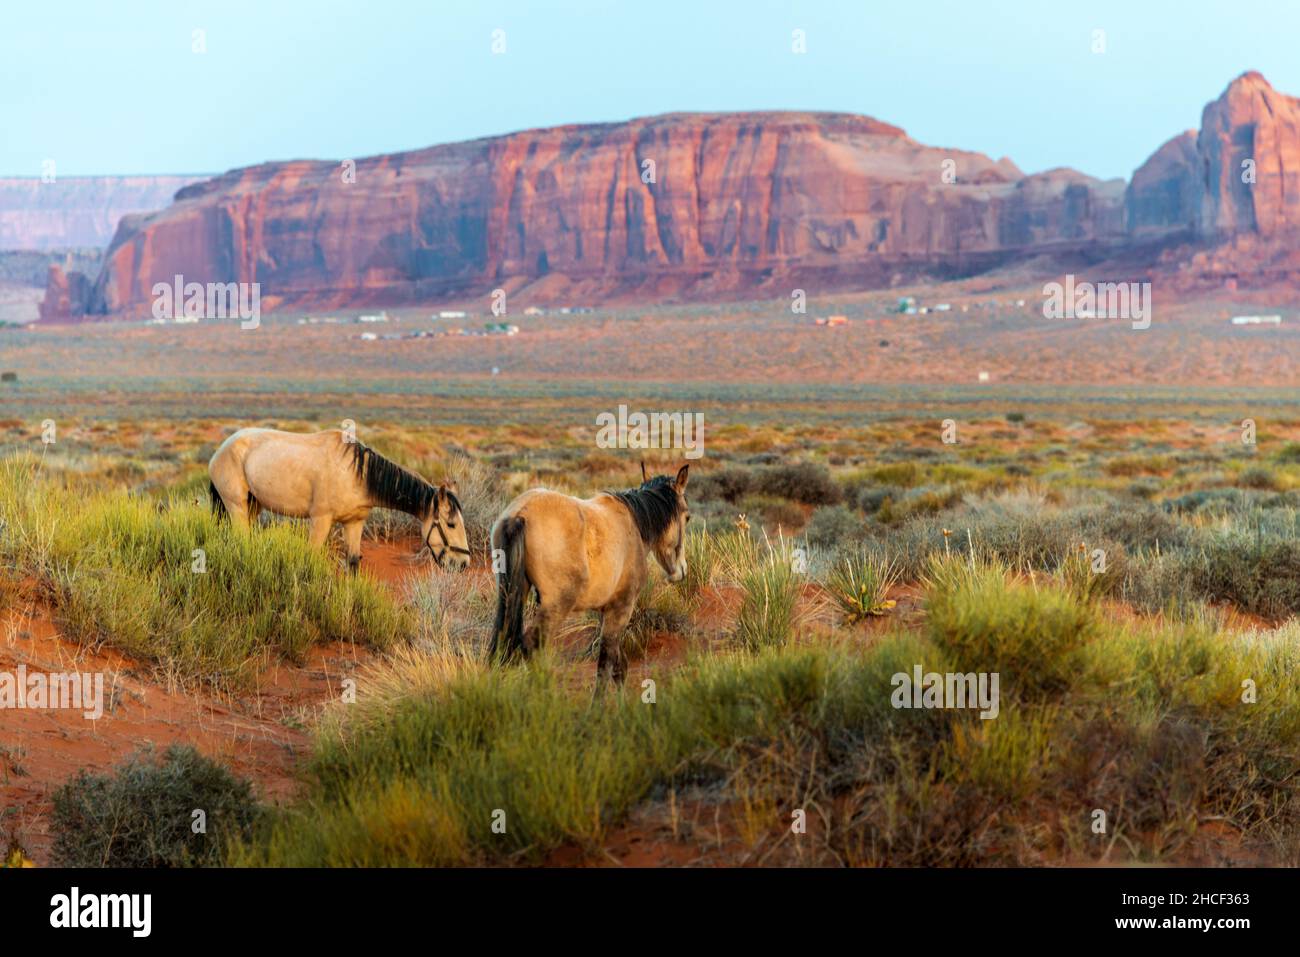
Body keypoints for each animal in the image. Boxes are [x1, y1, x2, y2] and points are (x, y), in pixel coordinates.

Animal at [202, 429, 467, 574]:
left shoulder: (354, 523)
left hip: (253, 506)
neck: (357, 475)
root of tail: (219, 451)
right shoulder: (320, 521)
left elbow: (353, 563)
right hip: (235, 506)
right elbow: (311, 558)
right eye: (451, 524)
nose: (464, 563)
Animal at [488, 462, 691, 686]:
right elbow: (606, 663)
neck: (633, 522)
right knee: (530, 646)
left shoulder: (606, 611)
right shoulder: (621, 608)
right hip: (556, 607)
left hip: (512, 595)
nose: (681, 570)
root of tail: (520, 513)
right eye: (687, 517)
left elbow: (619, 666)